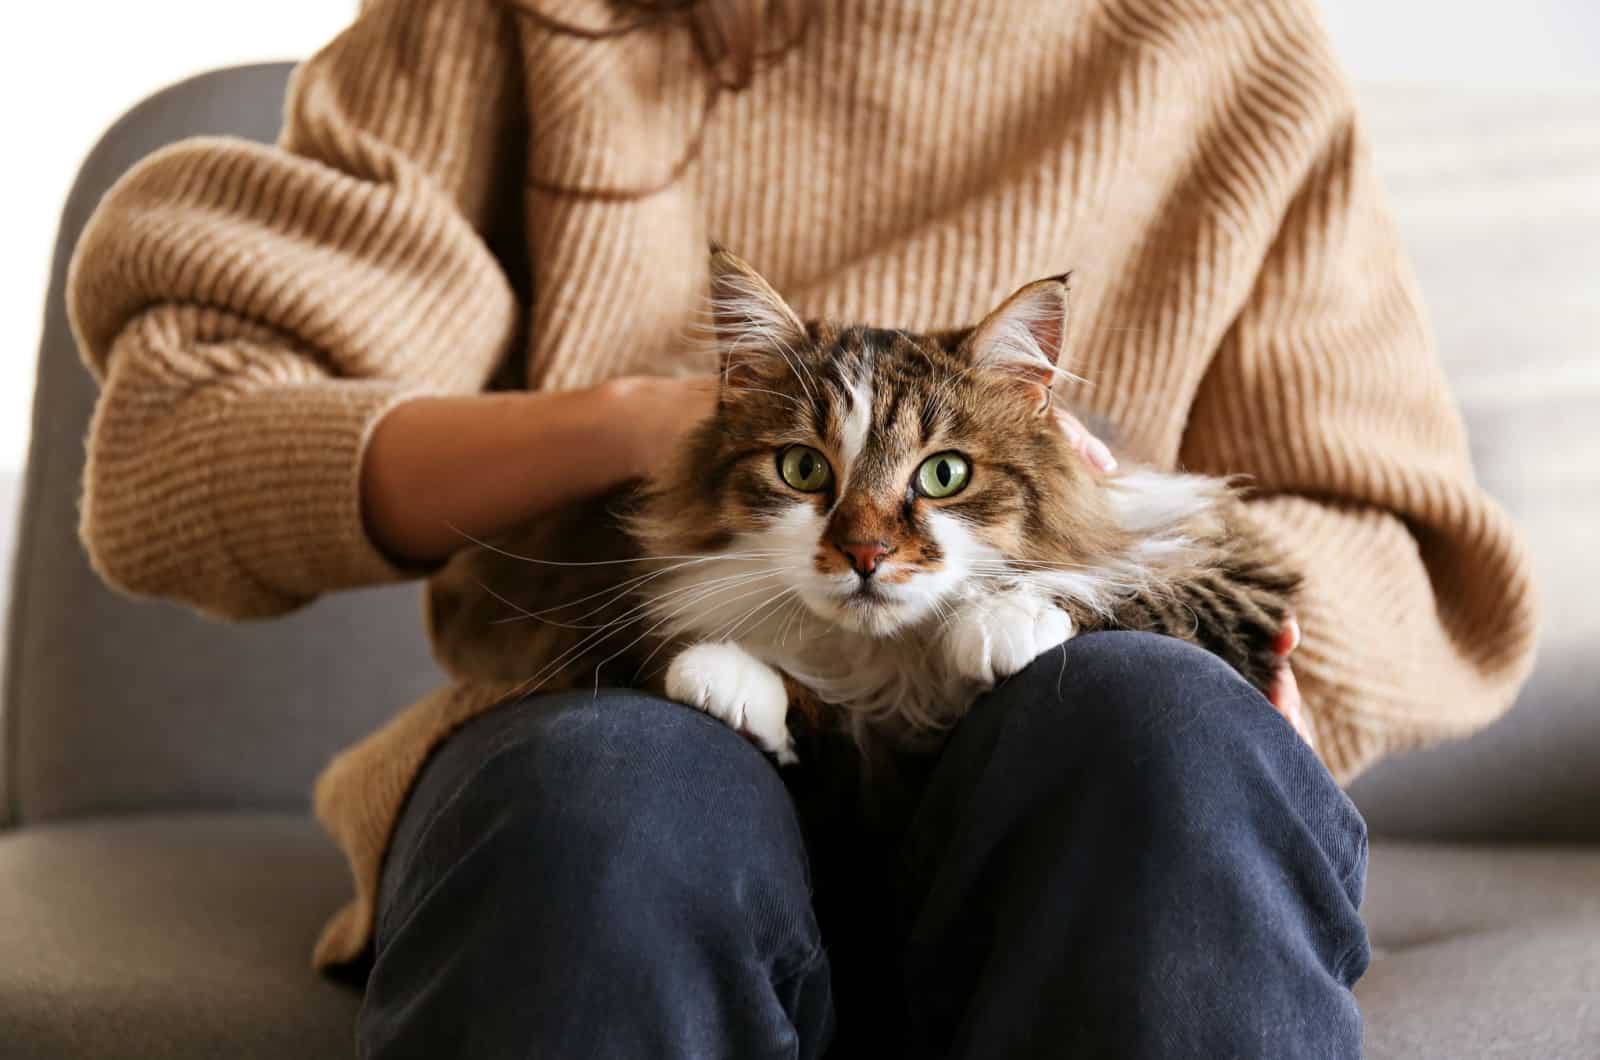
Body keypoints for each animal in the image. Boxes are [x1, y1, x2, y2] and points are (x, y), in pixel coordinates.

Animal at [432, 249, 1305, 765]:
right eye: (802, 469)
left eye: (944, 474)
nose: (865, 554)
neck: (895, 668)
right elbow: (786, 689)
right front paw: (728, 675)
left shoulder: (1233, 565)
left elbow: (1117, 587)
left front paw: (997, 624)